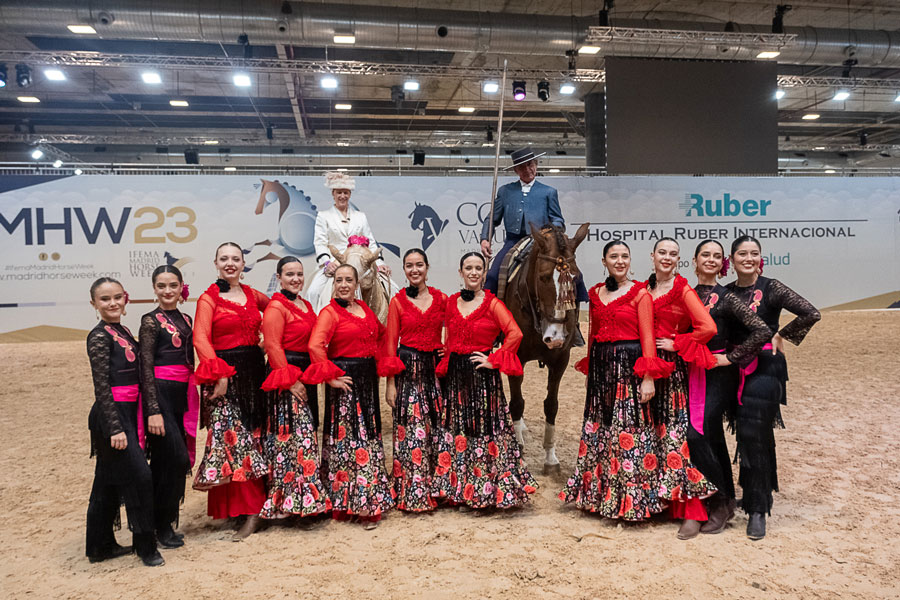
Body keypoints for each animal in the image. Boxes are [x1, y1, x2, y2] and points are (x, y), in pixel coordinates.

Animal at [506, 223, 592, 476]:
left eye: (576, 278)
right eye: (544, 277)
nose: (556, 337)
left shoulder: (560, 359)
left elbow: (551, 406)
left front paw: (551, 458)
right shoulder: (515, 357)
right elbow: (517, 402)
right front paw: (519, 453)